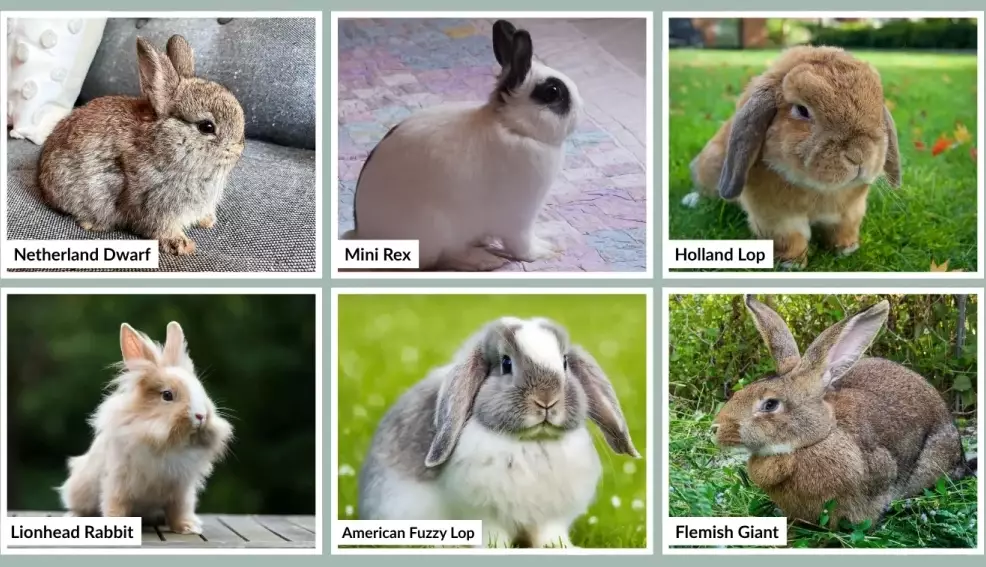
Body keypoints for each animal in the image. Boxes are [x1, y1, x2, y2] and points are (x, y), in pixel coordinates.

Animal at [38, 34, 246, 256]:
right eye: (206, 127)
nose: (238, 150)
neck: (165, 145)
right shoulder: (154, 204)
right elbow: (161, 228)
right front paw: (183, 245)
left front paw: (207, 221)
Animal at [57, 321, 233, 535]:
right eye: (167, 395)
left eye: (201, 389)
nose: (201, 416)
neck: (167, 444)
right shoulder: (118, 482)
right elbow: (116, 504)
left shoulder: (181, 489)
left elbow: (179, 510)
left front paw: (187, 527)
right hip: (80, 488)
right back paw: (73, 516)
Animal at [341, 20, 583, 271]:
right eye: (552, 92)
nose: (581, 110)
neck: (513, 127)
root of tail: (364, 238)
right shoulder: (519, 218)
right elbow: (522, 246)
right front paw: (546, 251)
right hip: (436, 230)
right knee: (445, 257)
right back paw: (485, 260)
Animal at [358, 317, 639, 548]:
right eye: (506, 363)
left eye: (565, 362)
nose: (546, 400)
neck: (533, 442)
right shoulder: (484, 514)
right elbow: (493, 536)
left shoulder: (550, 518)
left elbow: (549, 535)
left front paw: (562, 548)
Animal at [683, 46, 902, 269]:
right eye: (802, 110)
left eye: (877, 107)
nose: (859, 155)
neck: (820, 190)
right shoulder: (776, 217)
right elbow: (790, 238)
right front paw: (792, 264)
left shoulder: (849, 212)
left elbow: (843, 230)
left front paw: (847, 249)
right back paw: (691, 200)